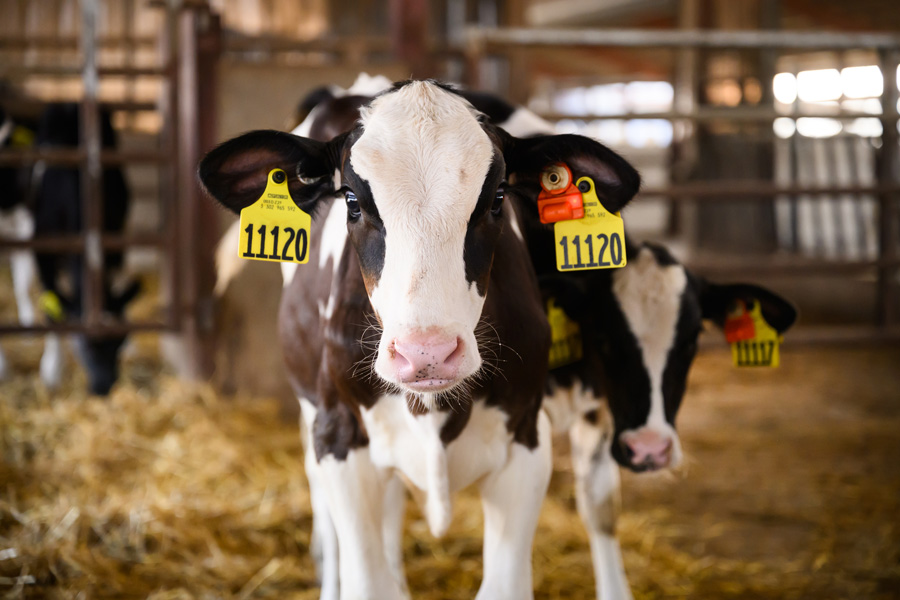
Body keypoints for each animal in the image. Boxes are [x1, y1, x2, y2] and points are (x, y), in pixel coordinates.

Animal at [199, 79, 644, 600]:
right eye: (351, 201)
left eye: (497, 198)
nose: (426, 353)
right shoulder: (340, 437)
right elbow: (365, 580)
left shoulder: (526, 443)